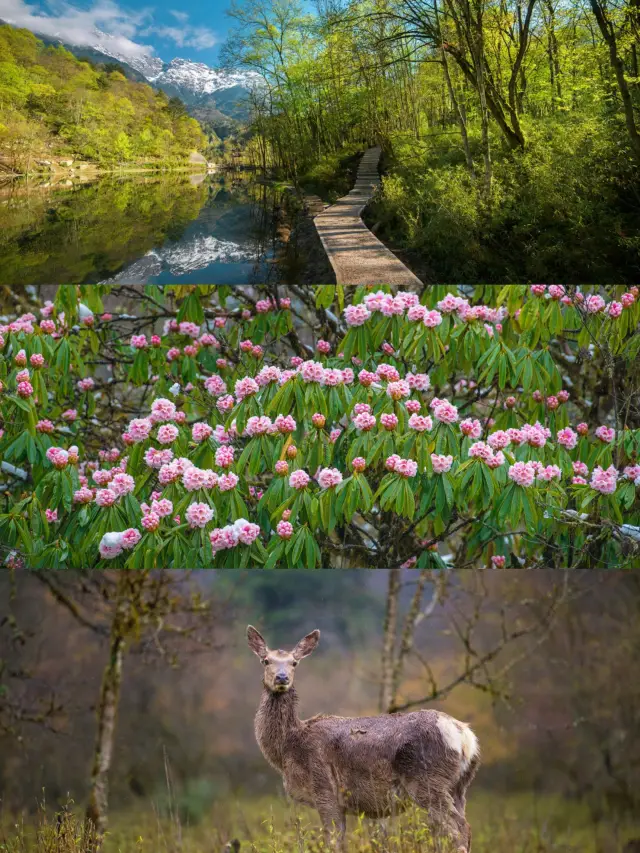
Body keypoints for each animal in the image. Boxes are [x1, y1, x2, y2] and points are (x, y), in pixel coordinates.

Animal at [248, 624, 478, 852]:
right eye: (265, 660)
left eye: (294, 662)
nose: (282, 678)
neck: (288, 748)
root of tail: (466, 738)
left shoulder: (324, 789)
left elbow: (332, 841)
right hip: (459, 786)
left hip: (427, 780)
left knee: (459, 829)